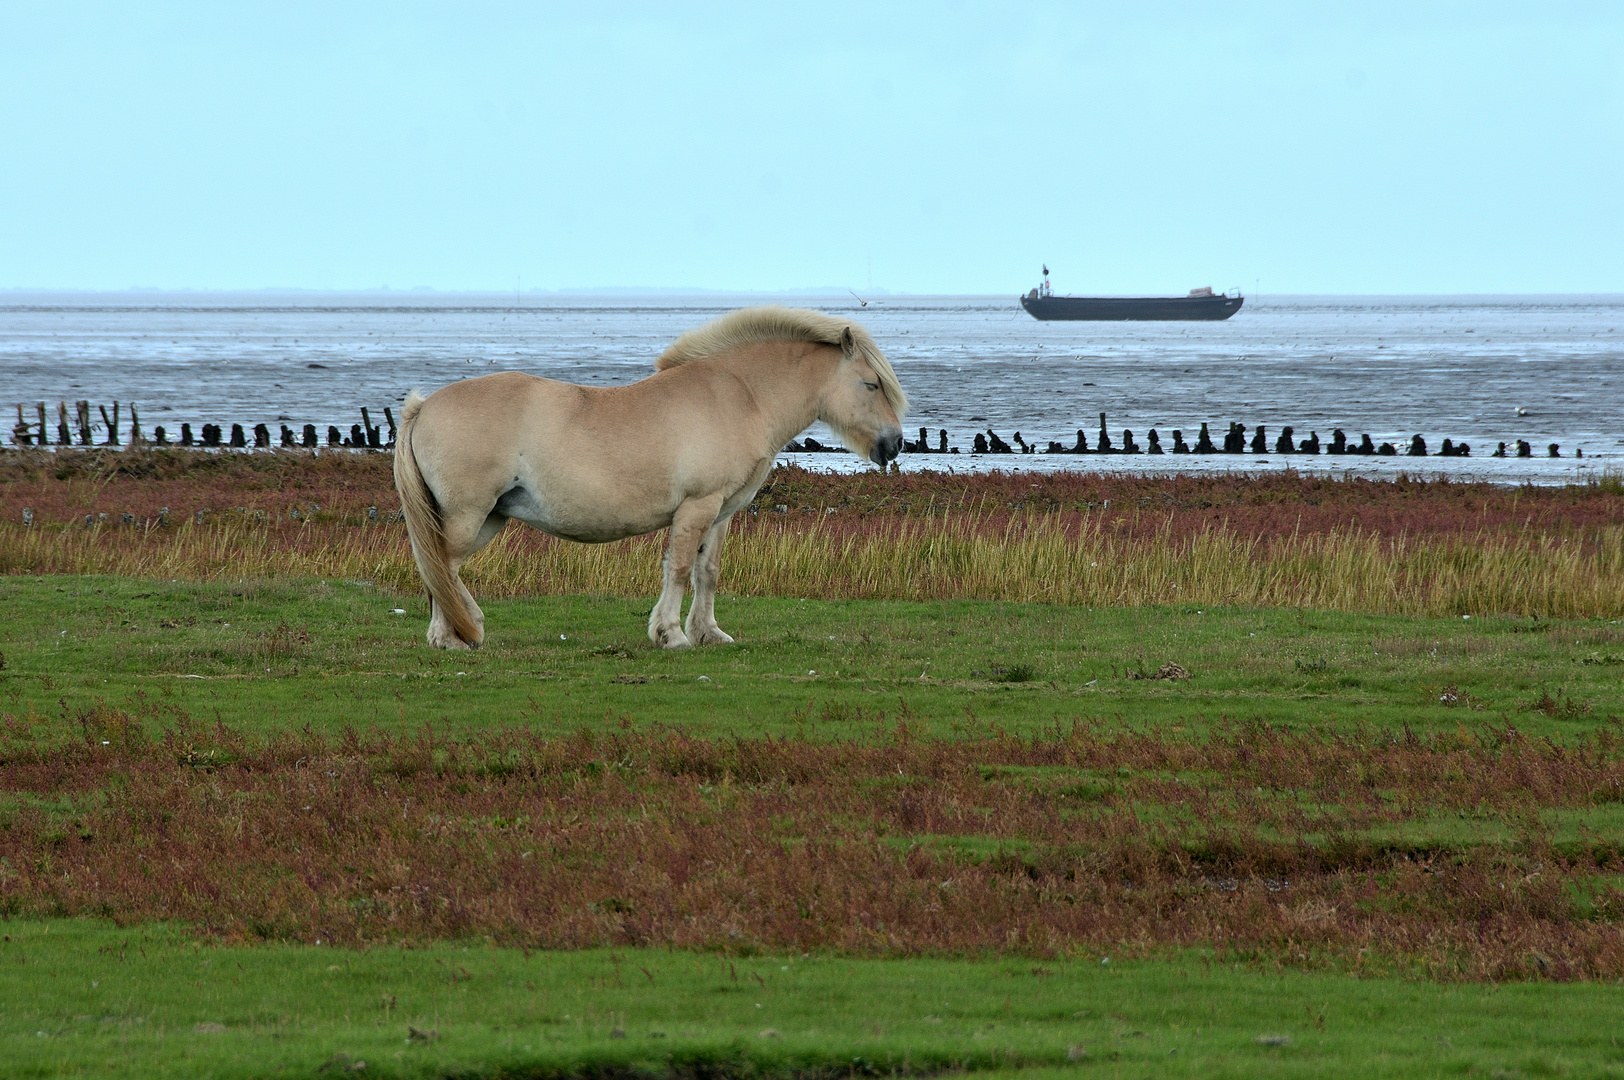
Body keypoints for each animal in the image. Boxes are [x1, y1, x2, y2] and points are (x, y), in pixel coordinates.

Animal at [388, 306, 909, 652]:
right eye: (871, 384)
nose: (894, 444)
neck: (740, 396)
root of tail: (424, 406)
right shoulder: (696, 507)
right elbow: (677, 568)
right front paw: (672, 635)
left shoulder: (720, 512)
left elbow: (706, 571)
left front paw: (709, 633)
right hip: (468, 514)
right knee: (441, 566)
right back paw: (453, 636)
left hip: (491, 517)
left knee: (444, 569)